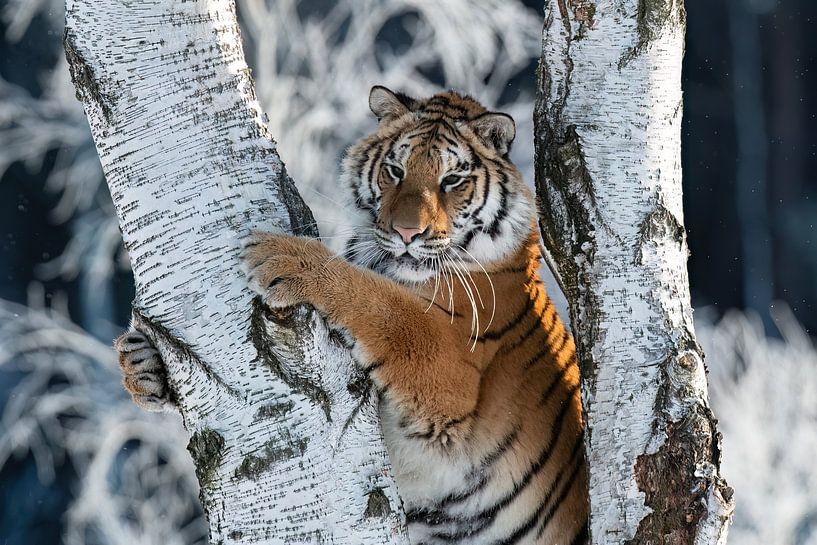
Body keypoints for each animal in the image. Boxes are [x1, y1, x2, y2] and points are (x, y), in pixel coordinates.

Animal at [116, 86, 589, 545]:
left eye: (452, 180)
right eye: (395, 171)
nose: (406, 233)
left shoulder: (453, 375)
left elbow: (384, 304)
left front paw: (284, 257)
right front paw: (141, 363)